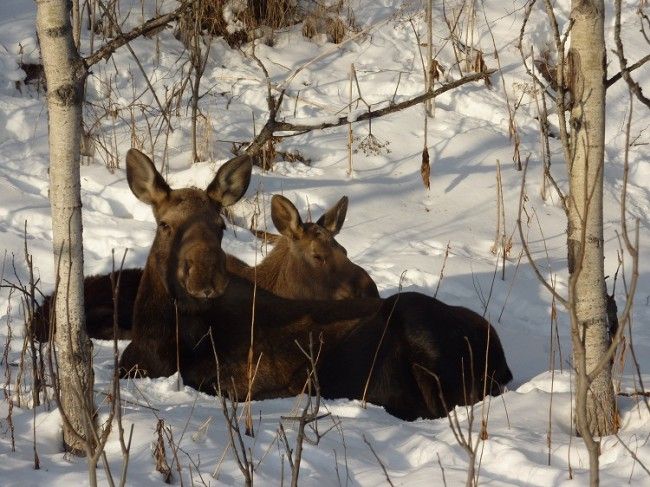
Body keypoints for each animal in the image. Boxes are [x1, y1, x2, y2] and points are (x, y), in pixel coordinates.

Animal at [120, 148, 512, 420]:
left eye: (220, 226)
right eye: (165, 225)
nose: (205, 278)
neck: (159, 337)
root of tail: (501, 358)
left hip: (413, 315)